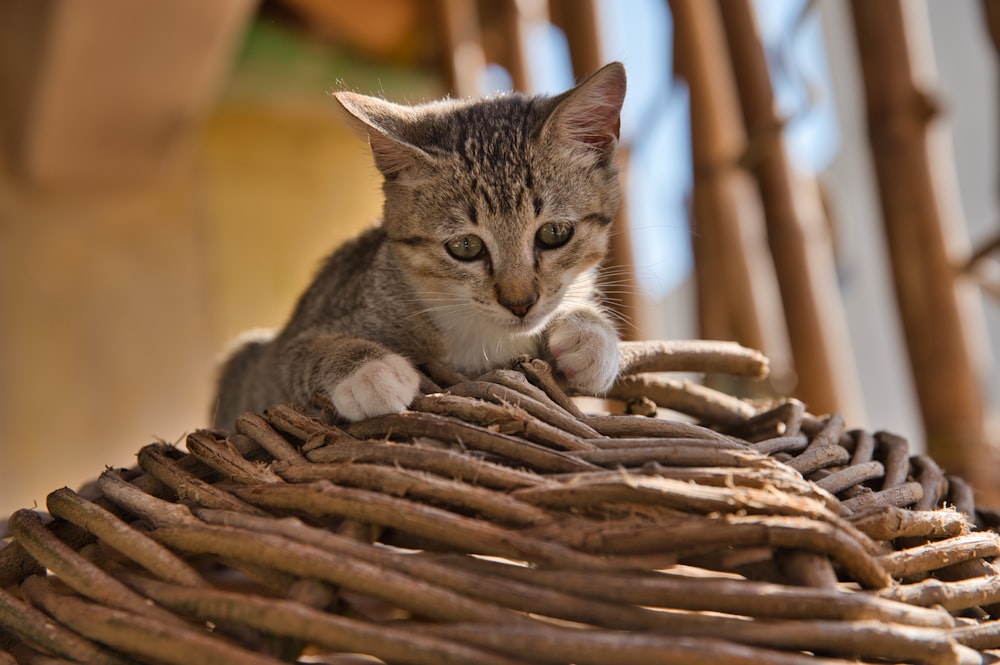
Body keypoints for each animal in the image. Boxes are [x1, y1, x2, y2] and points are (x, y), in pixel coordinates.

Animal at [213, 62, 624, 426]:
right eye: (465, 246)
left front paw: (590, 336)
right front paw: (368, 371)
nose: (520, 304)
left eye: (554, 233)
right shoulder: (274, 361)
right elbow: (301, 355)